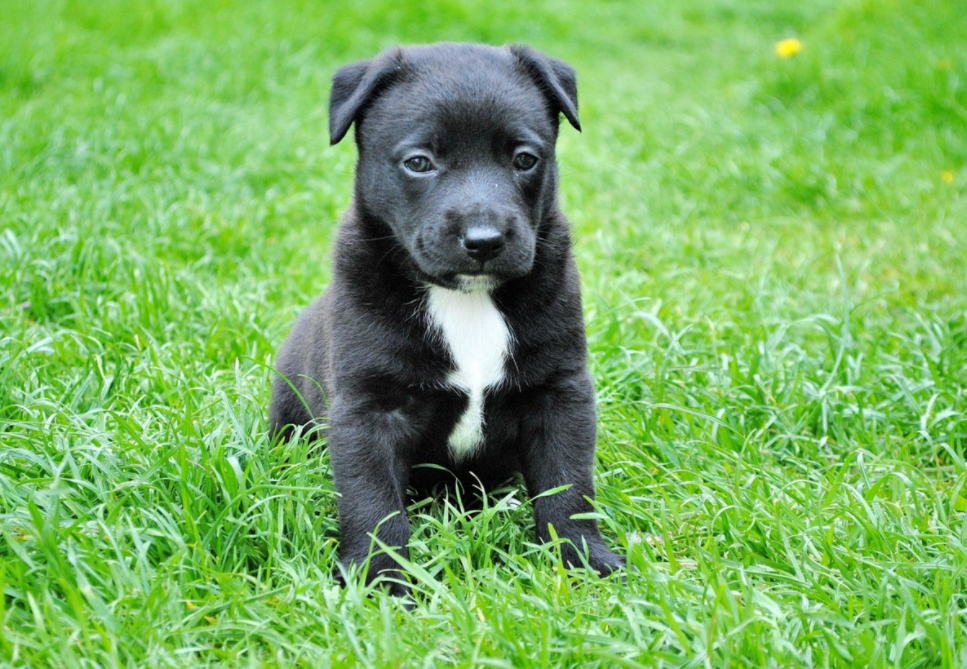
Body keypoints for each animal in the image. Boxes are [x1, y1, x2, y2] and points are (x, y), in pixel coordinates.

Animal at [268, 41, 624, 592]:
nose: (484, 240)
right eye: (419, 163)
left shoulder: (559, 391)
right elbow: (373, 503)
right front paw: (381, 581)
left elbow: (568, 484)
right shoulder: (368, 408)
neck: (465, 299)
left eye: (525, 159)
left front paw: (584, 558)